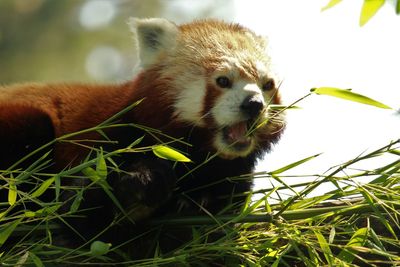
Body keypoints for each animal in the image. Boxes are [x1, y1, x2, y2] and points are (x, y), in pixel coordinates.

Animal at [0, 18, 284, 258]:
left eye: (267, 85)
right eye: (223, 80)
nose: (254, 104)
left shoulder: (230, 177)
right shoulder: (111, 137)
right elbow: (80, 210)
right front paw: (141, 186)